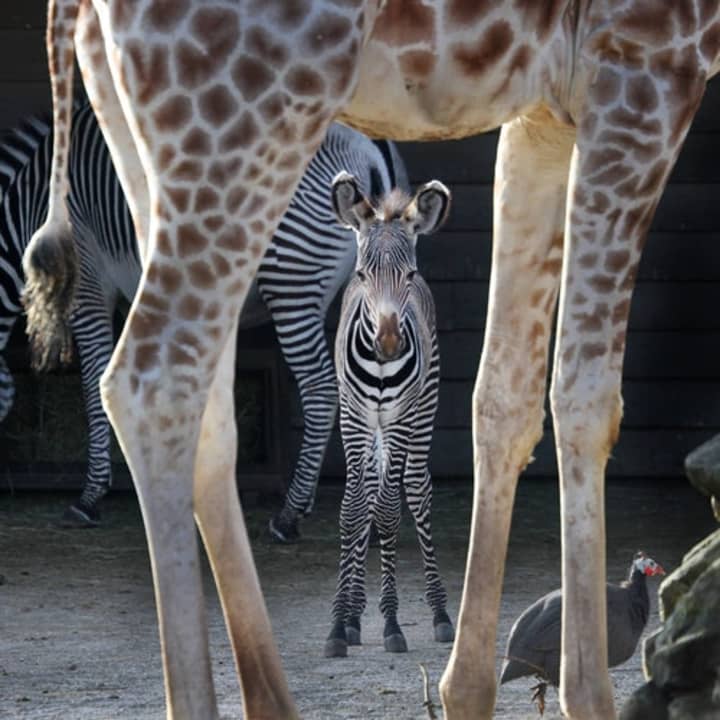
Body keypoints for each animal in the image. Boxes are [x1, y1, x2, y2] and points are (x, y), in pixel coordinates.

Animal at [0, 104, 404, 536]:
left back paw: (290, 514)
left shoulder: (89, 280)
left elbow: (95, 381)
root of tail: (369, 147)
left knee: (322, 388)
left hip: (292, 280)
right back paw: (373, 514)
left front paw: (91, 495)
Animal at [326, 173, 456, 660]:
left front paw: (391, 621)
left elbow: (386, 511)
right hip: (368, 426)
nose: (387, 345)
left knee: (415, 491)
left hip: (422, 412)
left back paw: (439, 614)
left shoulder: (399, 420)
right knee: (364, 493)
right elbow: (352, 508)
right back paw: (353, 613)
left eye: (409, 275)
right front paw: (340, 623)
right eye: (362, 275)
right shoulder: (354, 417)